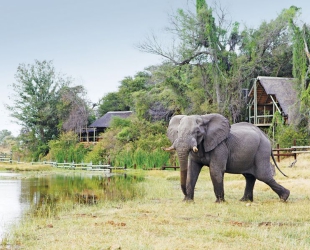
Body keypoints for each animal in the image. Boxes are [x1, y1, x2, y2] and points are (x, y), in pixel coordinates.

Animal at [162, 114, 290, 202]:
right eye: (177, 131)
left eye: (197, 132)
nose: (184, 195)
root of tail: (267, 138)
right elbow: (192, 171)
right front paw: (188, 201)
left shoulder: (220, 146)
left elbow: (215, 170)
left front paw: (219, 202)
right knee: (250, 177)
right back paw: (244, 200)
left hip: (261, 151)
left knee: (263, 175)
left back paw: (284, 197)